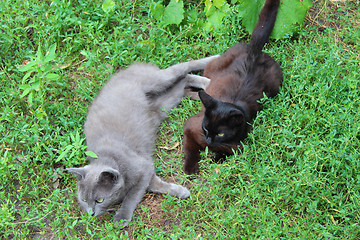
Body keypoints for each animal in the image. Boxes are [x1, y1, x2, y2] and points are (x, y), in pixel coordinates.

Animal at [67, 54, 219, 227]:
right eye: (84, 200)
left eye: (99, 200)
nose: (91, 213)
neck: (110, 158)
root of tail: (124, 71)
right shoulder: (147, 170)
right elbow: (154, 185)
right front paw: (180, 191)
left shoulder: (143, 167)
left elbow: (132, 195)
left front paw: (121, 217)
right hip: (166, 102)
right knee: (183, 80)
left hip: (156, 81)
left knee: (181, 68)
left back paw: (209, 72)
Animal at [183, 0, 284, 174]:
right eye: (206, 128)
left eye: (221, 134)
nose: (208, 140)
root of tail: (255, 52)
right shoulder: (191, 127)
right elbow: (190, 148)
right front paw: (190, 167)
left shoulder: (239, 144)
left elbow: (229, 152)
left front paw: (216, 157)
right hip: (213, 69)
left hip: (275, 86)